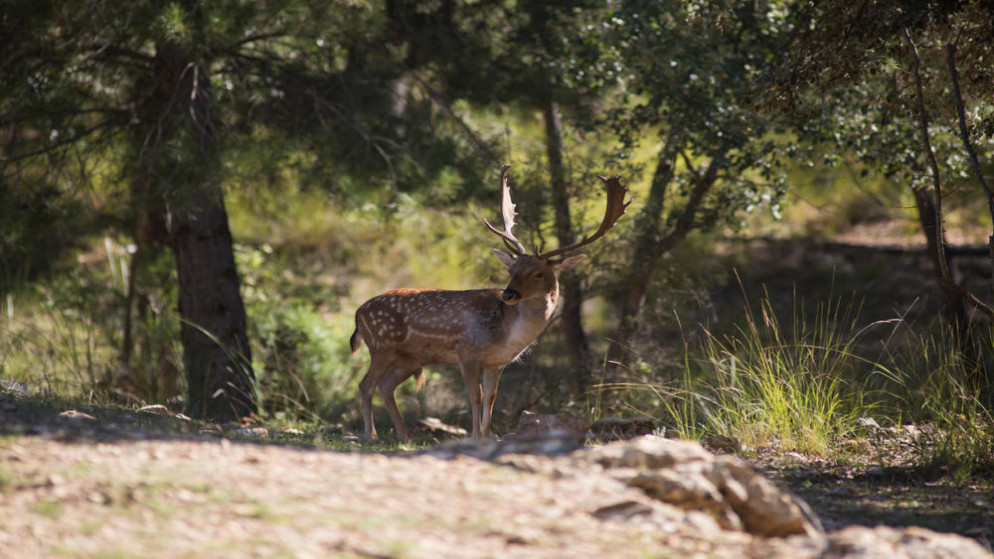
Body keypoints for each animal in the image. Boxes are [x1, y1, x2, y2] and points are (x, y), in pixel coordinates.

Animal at [350, 166, 628, 442]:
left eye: (538, 273)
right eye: (512, 270)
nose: (508, 294)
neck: (508, 333)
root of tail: (358, 312)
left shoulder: (497, 362)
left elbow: (492, 399)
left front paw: (487, 436)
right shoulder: (467, 350)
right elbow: (476, 396)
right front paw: (475, 436)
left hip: (409, 357)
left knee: (385, 386)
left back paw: (405, 437)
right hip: (382, 346)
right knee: (365, 385)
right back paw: (371, 436)